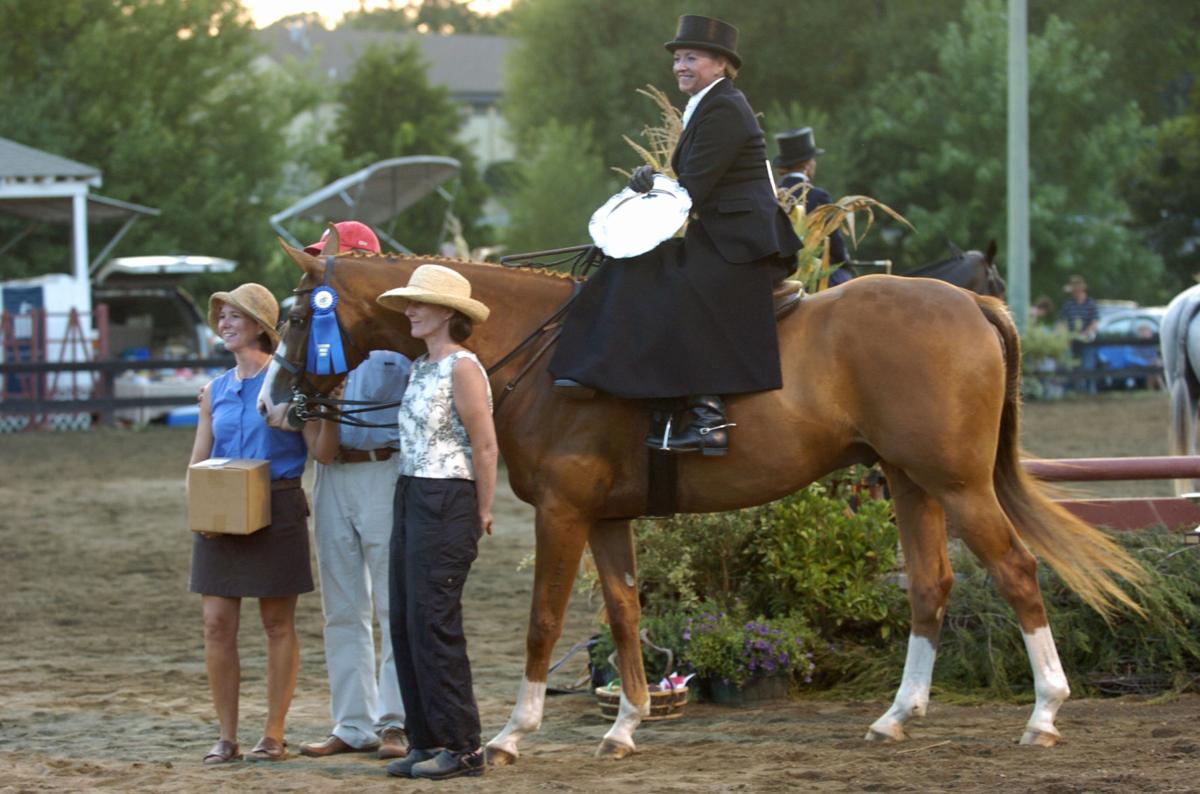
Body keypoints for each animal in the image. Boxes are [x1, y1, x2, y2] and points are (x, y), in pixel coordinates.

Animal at [264, 230, 1144, 763]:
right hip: (909, 482)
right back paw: (898, 715)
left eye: (294, 317)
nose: (274, 402)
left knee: (1018, 572)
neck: (539, 352)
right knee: (932, 586)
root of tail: (970, 302)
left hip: (957, 484)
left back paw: (1045, 712)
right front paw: (626, 724)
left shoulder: (562, 514)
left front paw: (514, 733)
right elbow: (624, 615)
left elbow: (544, 621)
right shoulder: (605, 518)